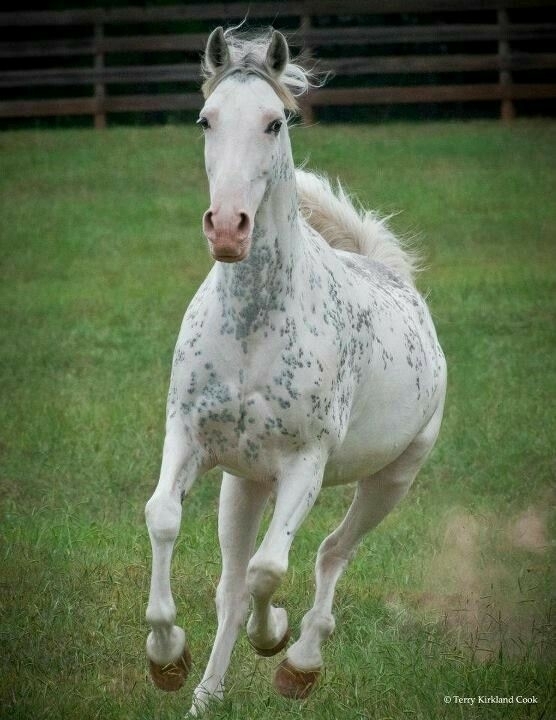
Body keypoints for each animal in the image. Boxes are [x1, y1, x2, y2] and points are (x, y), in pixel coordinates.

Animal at [144, 26, 447, 716]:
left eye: (275, 122)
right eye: (206, 119)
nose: (228, 228)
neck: (254, 329)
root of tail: (395, 276)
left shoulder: (304, 466)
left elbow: (271, 570)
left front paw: (274, 637)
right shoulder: (189, 437)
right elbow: (165, 518)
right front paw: (166, 658)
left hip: (392, 481)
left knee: (331, 554)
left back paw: (300, 664)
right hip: (244, 483)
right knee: (232, 586)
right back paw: (206, 695)